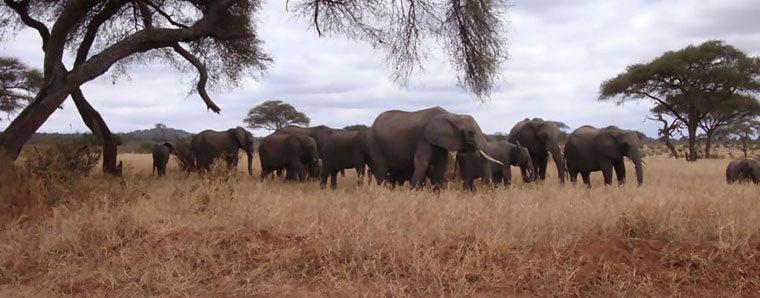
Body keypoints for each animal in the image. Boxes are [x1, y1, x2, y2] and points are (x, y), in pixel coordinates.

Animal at [366, 106, 502, 189]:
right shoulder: (423, 139)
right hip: (375, 143)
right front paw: (413, 194)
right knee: (381, 169)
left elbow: (441, 165)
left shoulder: (440, 142)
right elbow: (421, 163)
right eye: (470, 132)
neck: (452, 115)